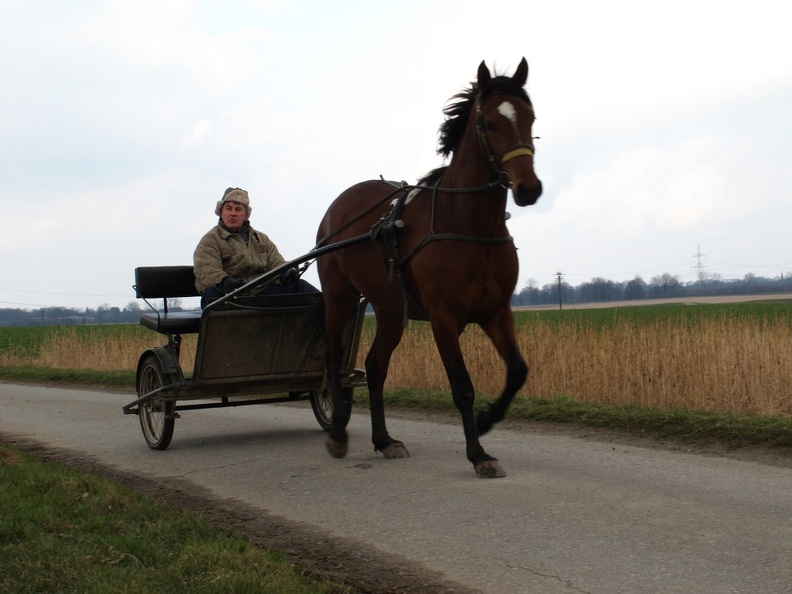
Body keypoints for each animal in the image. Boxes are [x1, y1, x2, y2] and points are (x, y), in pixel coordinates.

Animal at [316, 59, 544, 476]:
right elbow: (463, 387)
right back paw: (338, 431)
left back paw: (384, 439)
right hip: (339, 297)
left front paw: (486, 421)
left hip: (391, 310)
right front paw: (478, 454)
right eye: (490, 123)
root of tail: (339, 205)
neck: (470, 224)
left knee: (375, 366)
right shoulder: (444, 318)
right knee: (334, 357)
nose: (529, 189)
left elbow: (518, 370)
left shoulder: (496, 311)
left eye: (530, 117)